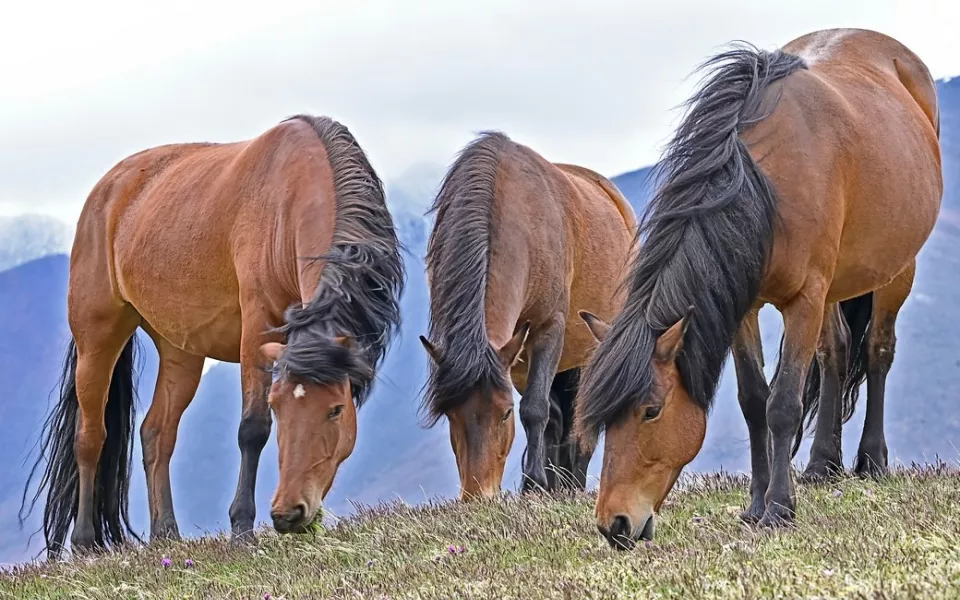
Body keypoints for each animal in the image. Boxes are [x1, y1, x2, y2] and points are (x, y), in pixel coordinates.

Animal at [19, 113, 402, 556]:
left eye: (336, 410)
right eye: (278, 406)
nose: (289, 513)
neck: (290, 197)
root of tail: (107, 188)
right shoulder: (257, 327)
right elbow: (252, 429)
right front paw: (242, 529)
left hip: (180, 351)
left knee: (156, 433)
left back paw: (166, 533)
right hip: (97, 339)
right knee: (90, 437)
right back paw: (84, 543)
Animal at [420, 132, 636, 502]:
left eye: (505, 412)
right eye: (449, 414)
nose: (478, 496)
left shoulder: (549, 328)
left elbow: (535, 409)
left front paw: (533, 483)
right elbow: (548, 414)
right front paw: (540, 485)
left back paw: (573, 482)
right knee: (560, 417)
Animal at [572, 30, 940, 552]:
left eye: (651, 411)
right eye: (606, 420)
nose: (615, 525)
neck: (762, 187)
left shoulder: (804, 300)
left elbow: (782, 404)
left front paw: (779, 509)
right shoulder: (742, 307)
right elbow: (753, 402)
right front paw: (755, 504)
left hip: (895, 271)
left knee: (877, 351)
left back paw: (871, 460)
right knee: (835, 352)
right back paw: (822, 465)